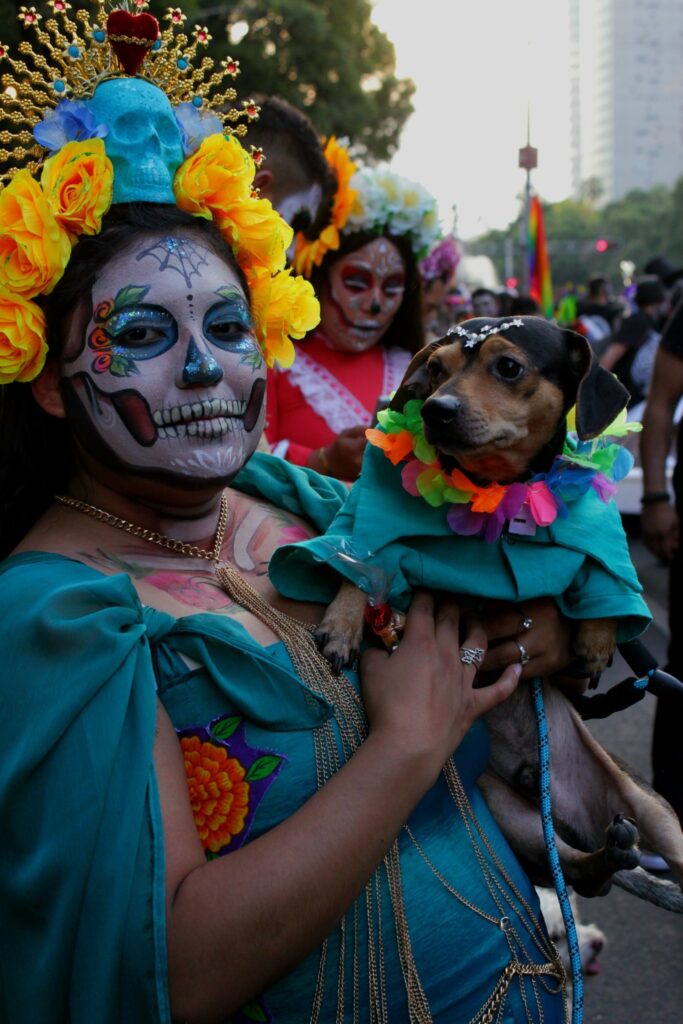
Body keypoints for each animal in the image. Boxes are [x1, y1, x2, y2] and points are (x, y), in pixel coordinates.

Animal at [313, 315, 683, 909]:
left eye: (508, 367)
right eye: (434, 368)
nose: (435, 408)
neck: (496, 490)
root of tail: (572, 812)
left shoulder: (593, 539)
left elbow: (605, 576)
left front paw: (596, 640)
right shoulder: (378, 532)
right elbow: (360, 558)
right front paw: (342, 624)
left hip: (654, 811)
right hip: (510, 813)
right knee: (582, 873)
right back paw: (607, 854)